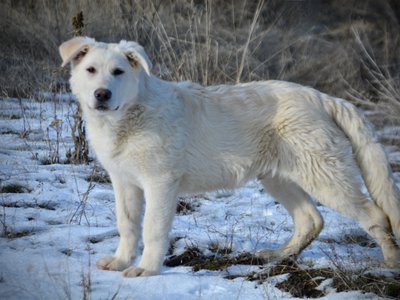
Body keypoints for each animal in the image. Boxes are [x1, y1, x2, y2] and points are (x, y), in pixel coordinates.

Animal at [59, 37, 400, 276]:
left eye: (118, 72)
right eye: (90, 70)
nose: (102, 94)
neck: (129, 116)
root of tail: (323, 97)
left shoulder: (161, 183)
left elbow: (153, 229)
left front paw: (146, 270)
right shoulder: (124, 182)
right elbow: (128, 224)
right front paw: (120, 262)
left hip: (324, 176)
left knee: (376, 216)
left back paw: (390, 264)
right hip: (279, 177)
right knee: (311, 220)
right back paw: (279, 256)